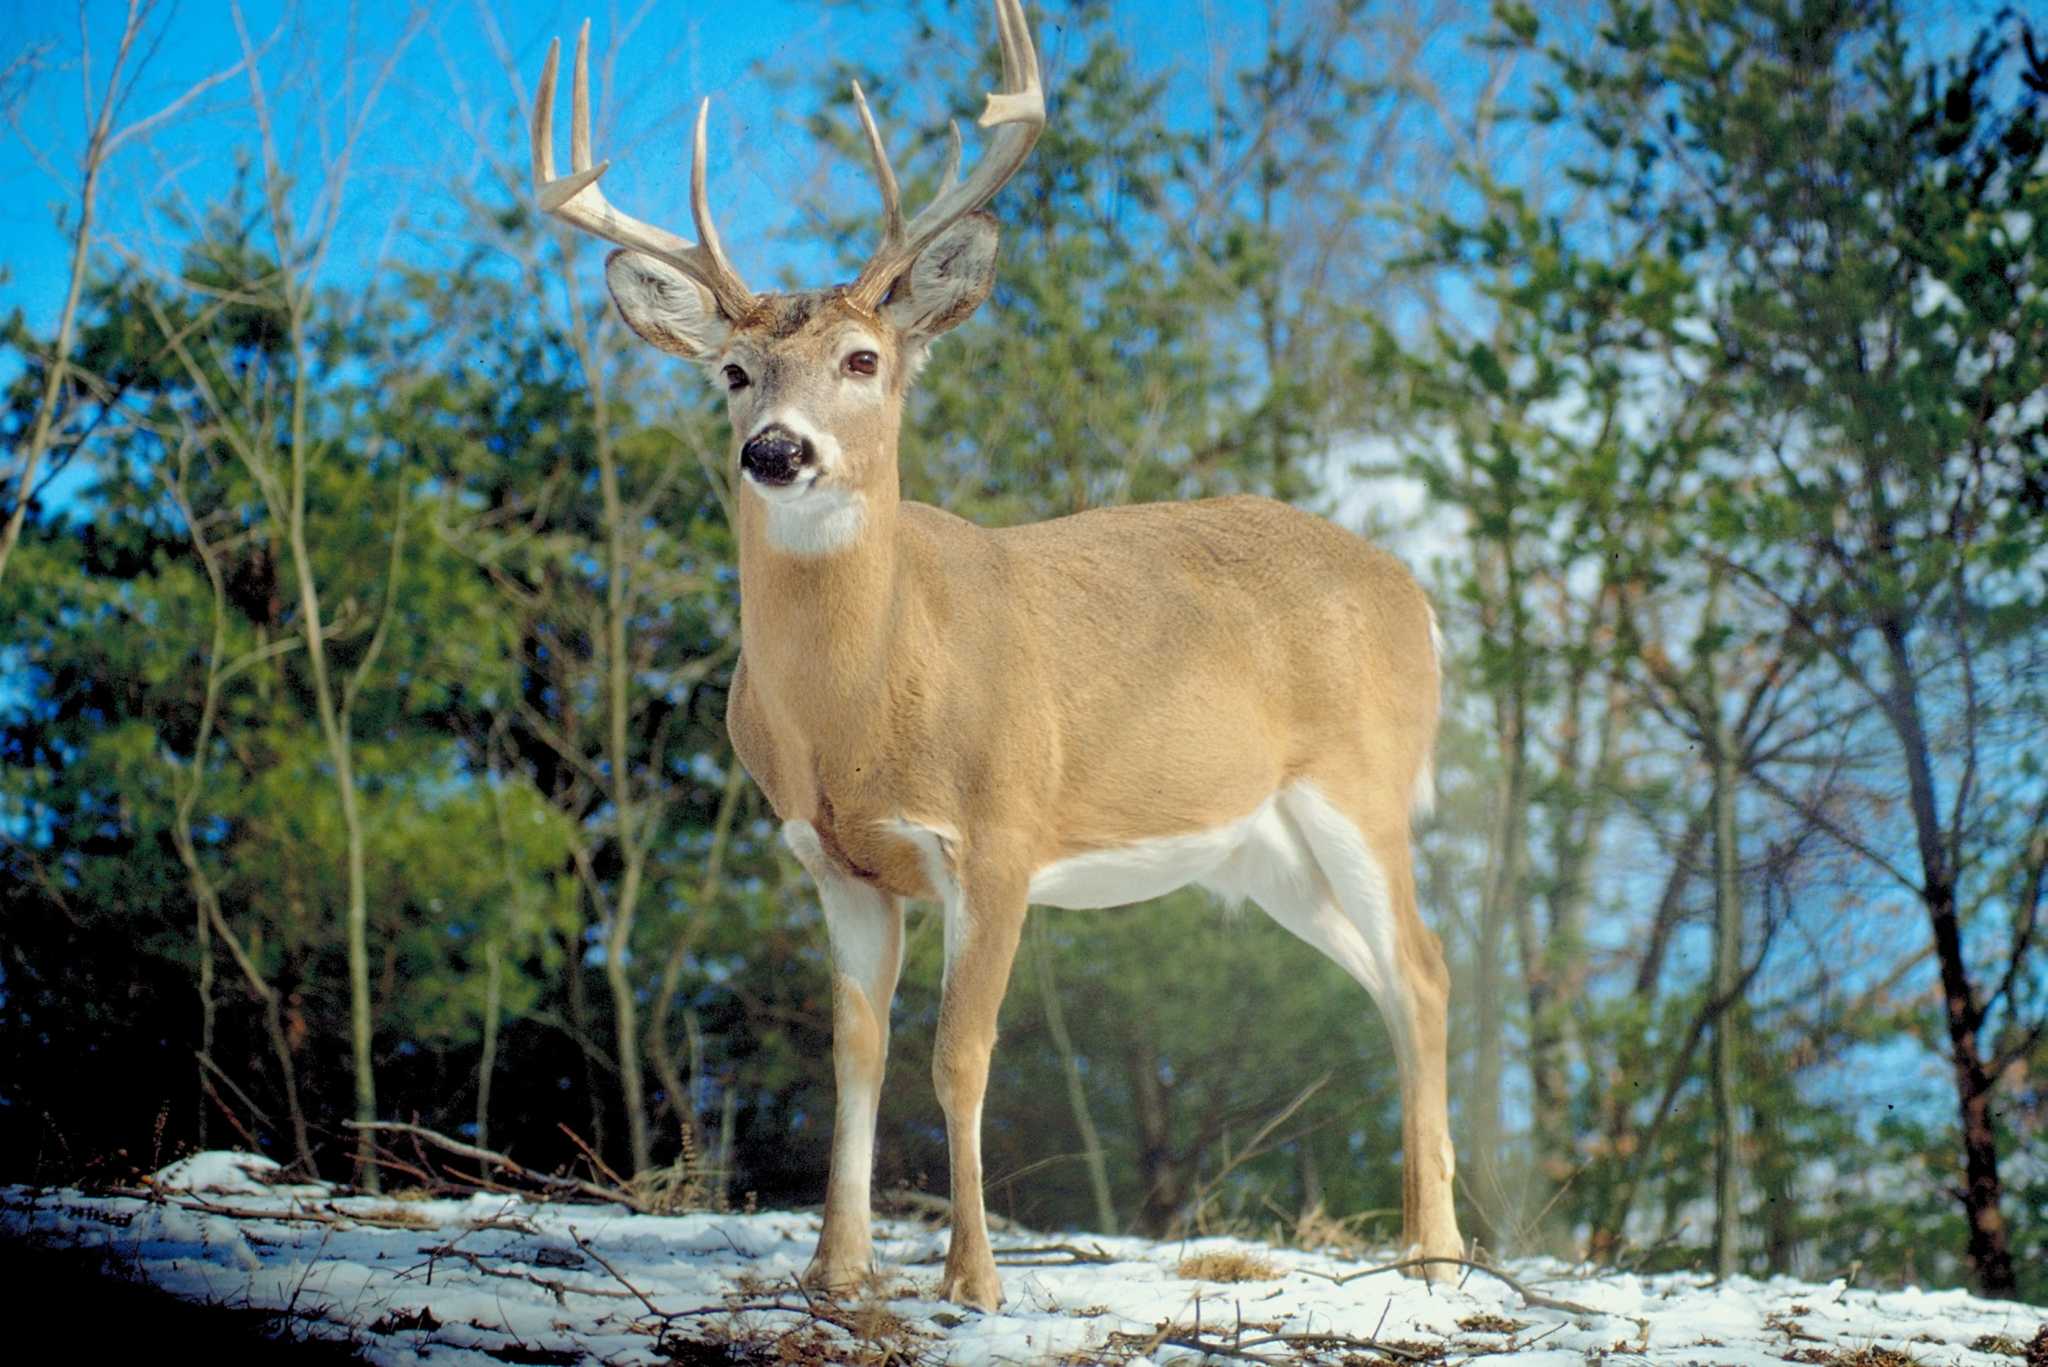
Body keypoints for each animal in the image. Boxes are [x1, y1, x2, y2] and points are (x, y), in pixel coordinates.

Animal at [524, 0, 1458, 1311]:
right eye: (733, 371)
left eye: (863, 360)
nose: (775, 449)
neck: (863, 705)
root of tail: (1414, 596)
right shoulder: (831, 859)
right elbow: (856, 1051)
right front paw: (838, 1265)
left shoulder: (1003, 830)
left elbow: (960, 1053)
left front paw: (973, 1277)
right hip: (1262, 850)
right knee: (1383, 976)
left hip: (1358, 785)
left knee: (1422, 969)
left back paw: (1439, 1253)